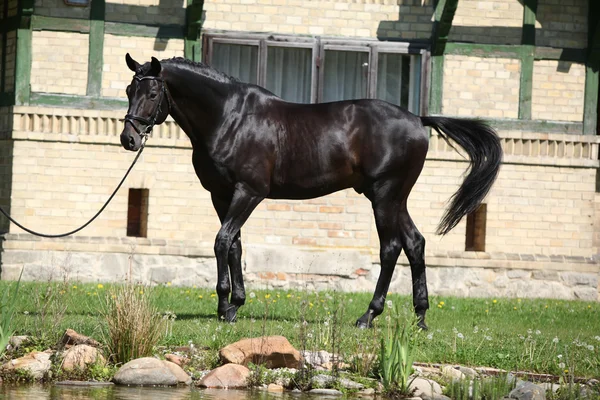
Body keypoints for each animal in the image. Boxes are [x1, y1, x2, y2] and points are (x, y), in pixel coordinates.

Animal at [120, 54, 502, 328]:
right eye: (128, 91)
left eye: (151, 93)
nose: (129, 139)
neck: (231, 118)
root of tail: (418, 120)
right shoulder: (221, 195)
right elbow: (234, 245)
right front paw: (234, 304)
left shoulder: (249, 192)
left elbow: (222, 241)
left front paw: (226, 305)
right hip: (395, 199)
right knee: (415, 243)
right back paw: (419, 317)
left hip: (385, 196)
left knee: (391, 248)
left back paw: (368, 316)